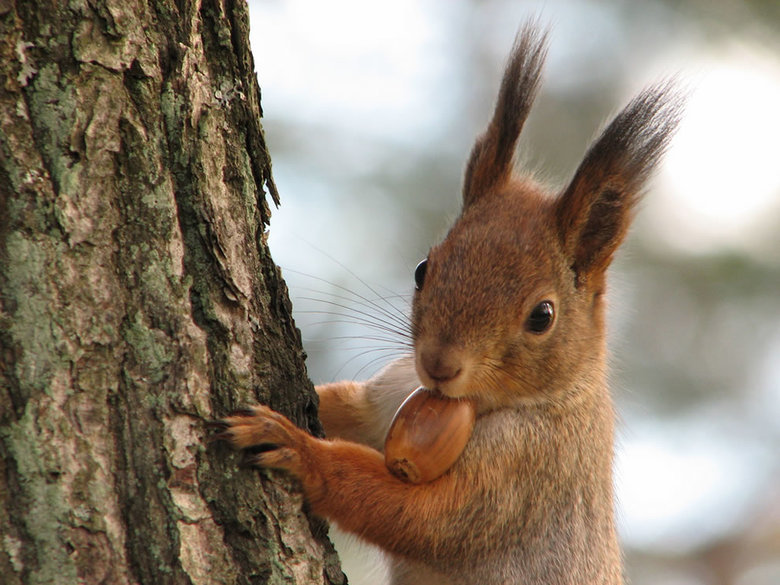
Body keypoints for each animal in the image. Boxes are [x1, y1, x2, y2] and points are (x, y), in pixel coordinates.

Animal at [216, 22, 682, 585]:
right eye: (423, 269)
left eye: (542, 316)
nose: (439, 364)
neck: (463, 403)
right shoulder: (390, 394)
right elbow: (344, 406)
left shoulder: (525, 474)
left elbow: (423, 518)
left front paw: (294, 446)